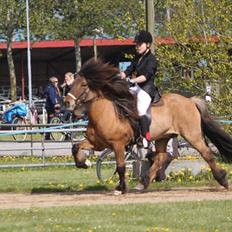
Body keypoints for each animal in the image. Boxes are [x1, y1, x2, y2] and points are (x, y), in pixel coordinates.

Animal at [64, 58, 232, 194]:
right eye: (72, 84)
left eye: (83, 85)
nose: (67, 102)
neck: (105, 112)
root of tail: (190, 100)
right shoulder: (98, 143)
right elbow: (75, 147)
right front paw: (84, 163)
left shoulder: (117, 144)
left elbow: (120, 166)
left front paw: (121, 188)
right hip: (163, 137)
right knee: (160, 158)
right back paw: (142, 184)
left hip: (192, 135)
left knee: (206, 153)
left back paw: (223, 180)